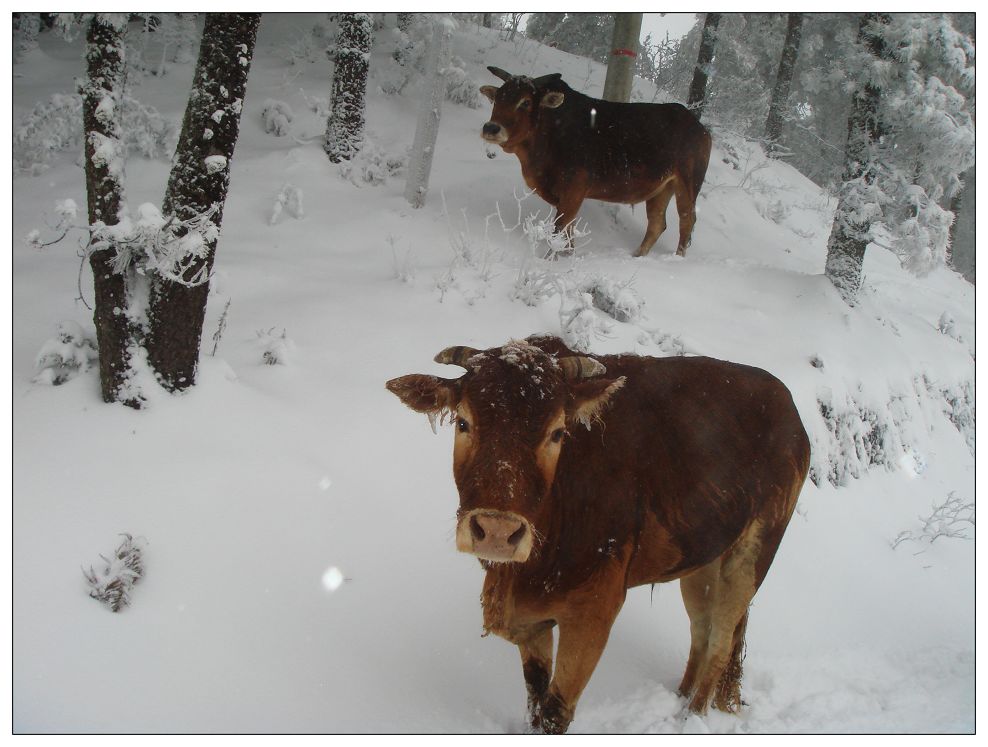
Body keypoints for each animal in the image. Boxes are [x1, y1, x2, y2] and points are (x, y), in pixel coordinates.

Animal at [386, 338, 812, 736]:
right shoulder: (531, 621)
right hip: (704, 561)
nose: (497, 531)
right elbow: (535, 698)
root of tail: (787, 404)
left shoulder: (594, 611)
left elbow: (554, 712)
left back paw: (690, 716)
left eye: (558, 432)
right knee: (702, 632)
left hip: (752, 555)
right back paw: (679, 699)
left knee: (722, 640)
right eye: (463, 423)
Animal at [478, 68, 712, 260]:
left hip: (688, 183)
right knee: (657, 224)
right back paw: (637, 256)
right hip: (661, 189)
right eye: (497, 99)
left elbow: (560, 228)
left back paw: (678, 258)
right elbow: (569, 230)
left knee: (687, 221)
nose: (491, 128)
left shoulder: (574, 190)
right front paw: (568, 256)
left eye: (525, 102)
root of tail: (700, 127)